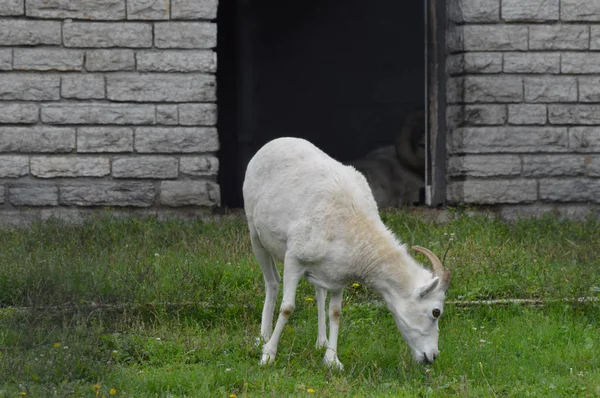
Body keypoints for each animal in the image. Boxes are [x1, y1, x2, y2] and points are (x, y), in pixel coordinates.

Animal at [244, 137, 450, 370]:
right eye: (436, 311)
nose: (432, 356)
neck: (353, 227)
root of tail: (274, 142)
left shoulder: (337, 277)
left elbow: (335, 312)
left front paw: (332, 360)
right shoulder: (293, 259)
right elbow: (288, 307)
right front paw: (268, 355)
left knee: (318, 293)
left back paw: (321, 341)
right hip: (255, 234)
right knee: (272, 281)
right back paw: (263, 337)